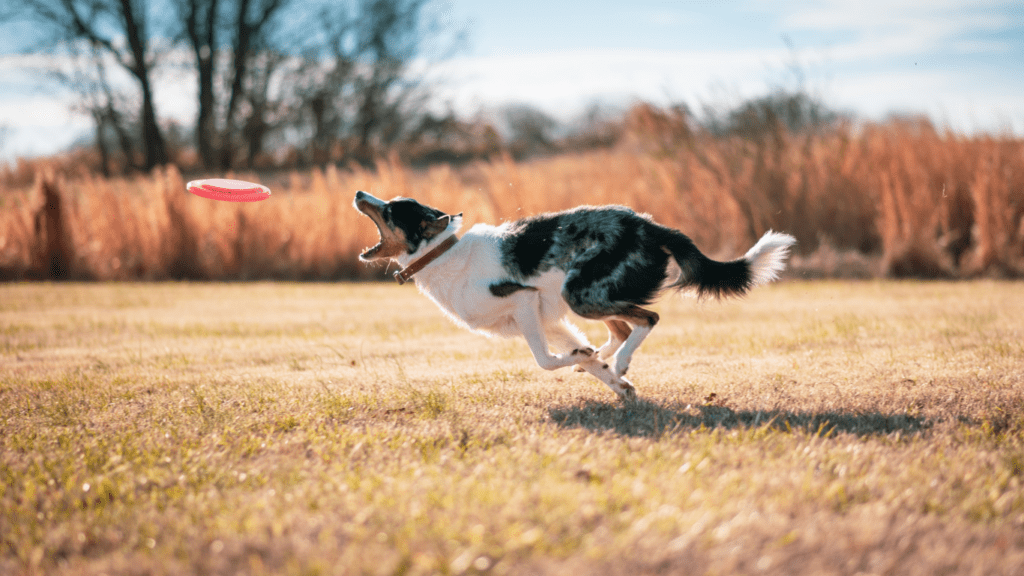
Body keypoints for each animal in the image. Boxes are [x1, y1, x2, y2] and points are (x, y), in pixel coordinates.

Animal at [356, 190, 794, 397]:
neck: (444, 252)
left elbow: (545, 362)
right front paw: (603, 374)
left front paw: (603, 370)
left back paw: (621, 361)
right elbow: (574, 357)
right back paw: (604, 358)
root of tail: (650, 225)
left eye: (392, 211)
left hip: (581, 293)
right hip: (588, 298)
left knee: (647, 319)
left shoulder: (524, 301)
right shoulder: (547, 320)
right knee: (621, 330)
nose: (360, 194)